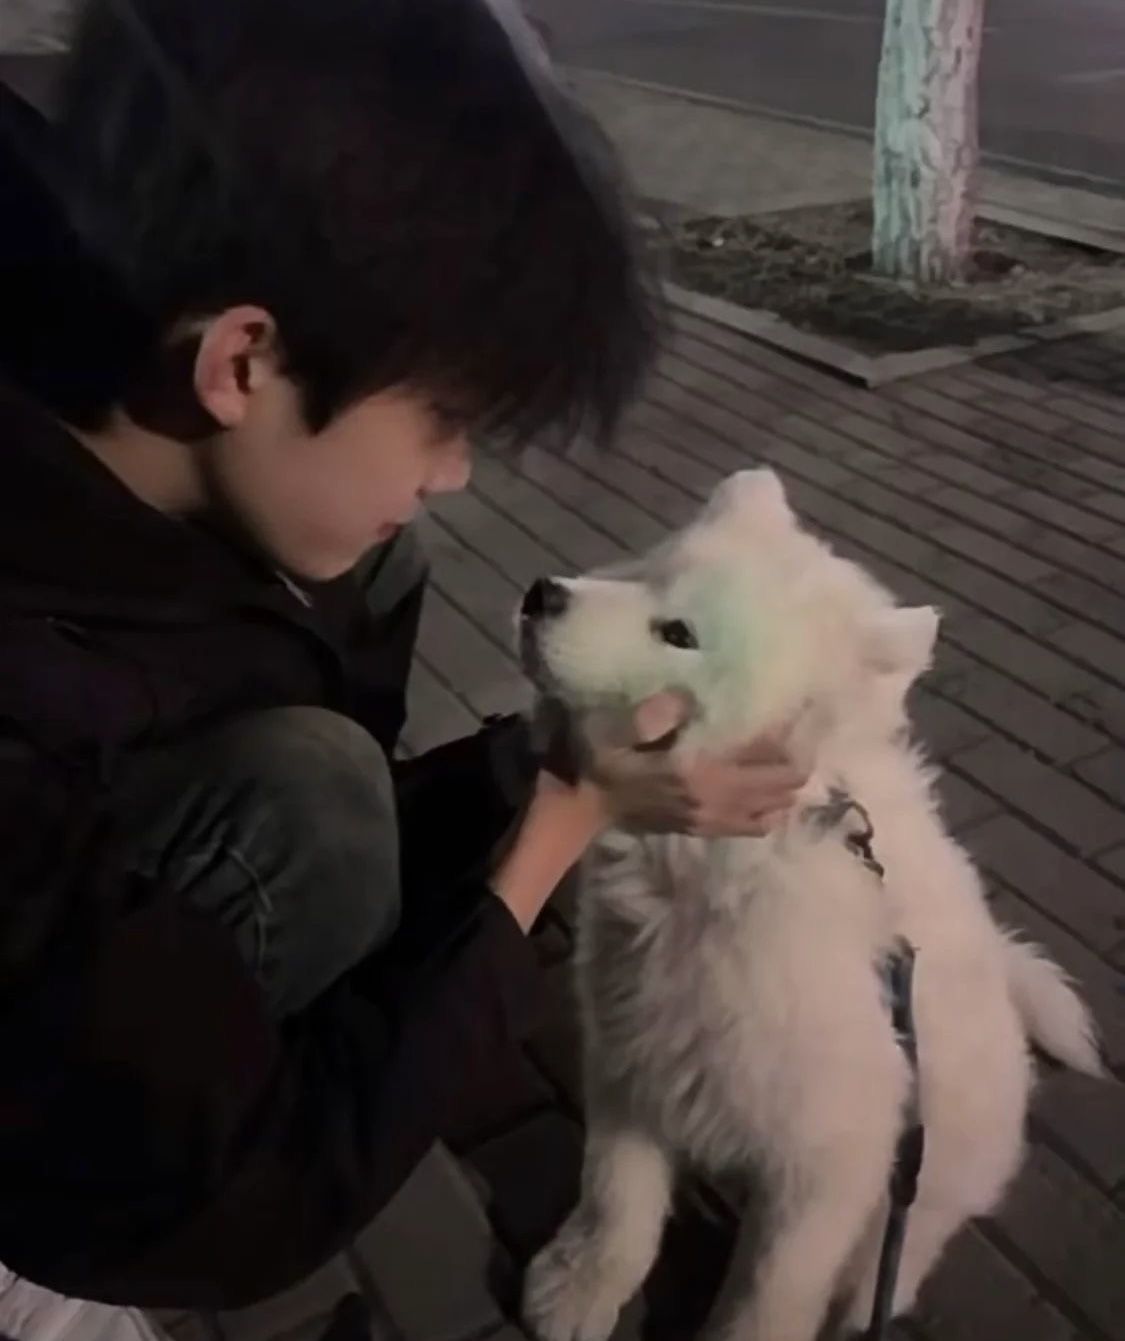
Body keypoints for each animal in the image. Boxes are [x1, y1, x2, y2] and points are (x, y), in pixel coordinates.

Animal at [520, 469, 1103, 1341]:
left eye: (679, 631)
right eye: (641, 569)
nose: (538, 595)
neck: (714, 869)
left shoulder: (830, 1154)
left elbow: (770, 1288)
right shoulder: (632, 1048)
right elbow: (615, 1195)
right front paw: (576, 1289)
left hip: (940, 1141)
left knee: (913, 1232)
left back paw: (865, 1298)